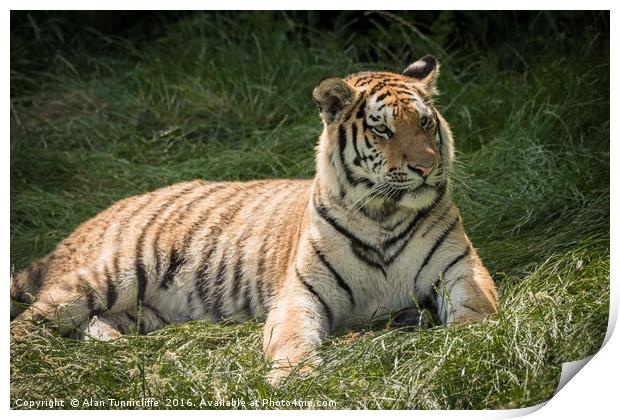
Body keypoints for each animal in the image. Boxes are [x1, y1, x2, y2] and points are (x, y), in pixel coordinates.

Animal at [10, 55, 498, 388]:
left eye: (426, 123)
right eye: (383, 130)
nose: (426, 167)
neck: (383, 214)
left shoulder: (460, 268)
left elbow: (476, 308)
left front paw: (470, 345)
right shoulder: (302, 291)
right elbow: (293, 336)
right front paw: (297, 379)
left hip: (141, 311)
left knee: (95, 326)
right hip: (112, 274)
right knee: (33, 322)